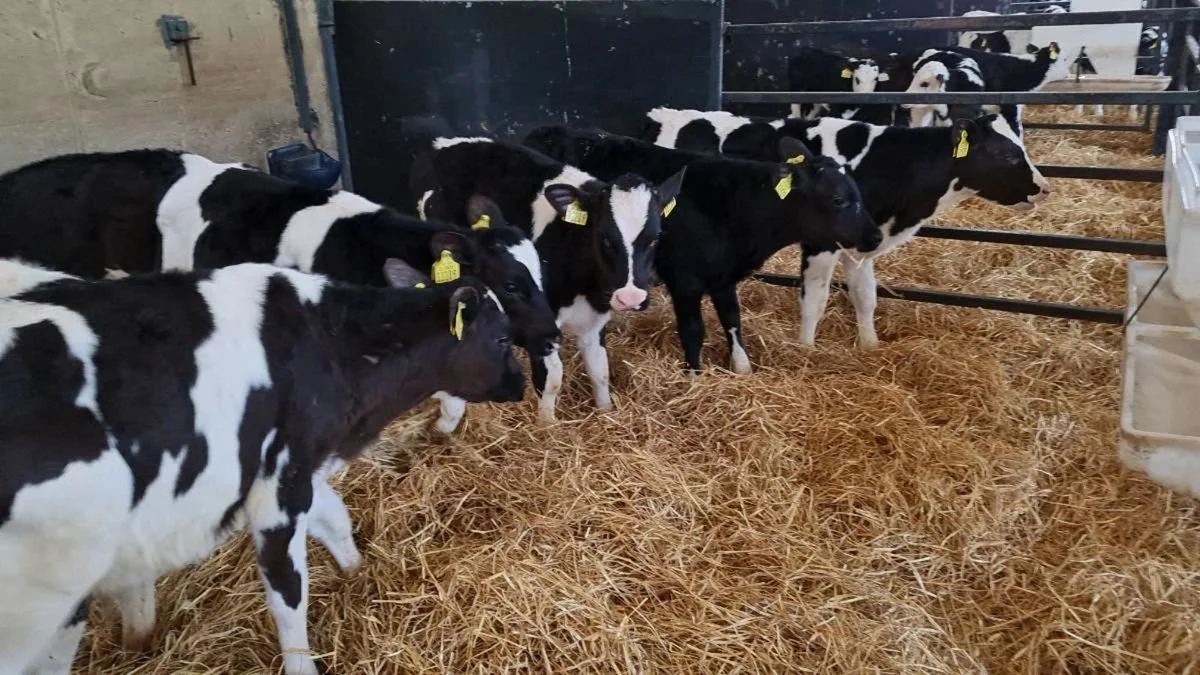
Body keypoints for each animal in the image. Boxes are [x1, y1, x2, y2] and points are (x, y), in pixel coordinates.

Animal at [0, 257, 525, 675]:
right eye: (502, 338)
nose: (520, 384)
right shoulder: (280, 489)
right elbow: (288, 590)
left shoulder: (290, 468)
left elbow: (335, 518)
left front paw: (358, 575)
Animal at [410, 137, 684, 423]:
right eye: (605, 238)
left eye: (655, 237)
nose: (631, 297)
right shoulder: (541, 319)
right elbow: (552, 377)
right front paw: (547, 424)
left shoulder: (595, 320)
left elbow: (600, 370)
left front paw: (606, 411)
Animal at [524, 125, 879, 374]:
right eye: (839, 199)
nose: (875, 236)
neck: (732, 208)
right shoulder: (685, 281)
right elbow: (694, 329)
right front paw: (694, 375)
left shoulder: (723, 278)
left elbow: (732, 319)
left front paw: (742, 366)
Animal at [640, 107, 1052, 349]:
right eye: (1007, 154)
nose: (1044, 187)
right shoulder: (822, 242)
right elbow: (816, 298)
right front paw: (806, 350)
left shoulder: (864, 241)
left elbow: (865, 295)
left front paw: (870, 346)